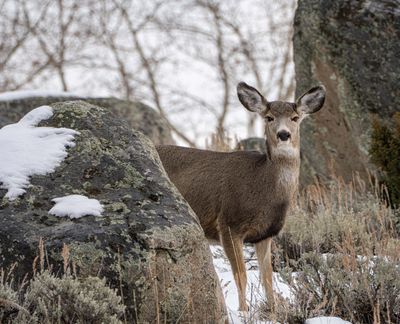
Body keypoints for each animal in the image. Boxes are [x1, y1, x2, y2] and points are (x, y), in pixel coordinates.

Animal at [155, 82, 324, 310]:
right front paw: (243, 311)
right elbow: (241, 276)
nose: (283, 134)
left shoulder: (265, 234)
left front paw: (273, 311)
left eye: (295, 117)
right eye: (269, 117)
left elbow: (267, 279)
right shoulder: (228, 223)